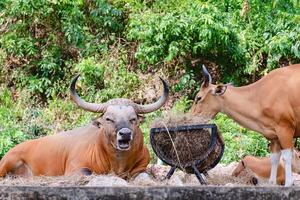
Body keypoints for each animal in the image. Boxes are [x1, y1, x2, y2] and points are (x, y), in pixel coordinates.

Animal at [0, 76, 169, 179]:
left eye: (133, 119)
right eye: (108, 119)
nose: (125, 134)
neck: (118, 163)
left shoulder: (142, 168)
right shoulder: (75, 168)